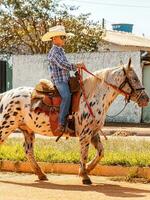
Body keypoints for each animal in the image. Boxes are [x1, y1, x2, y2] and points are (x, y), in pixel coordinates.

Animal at [0, 58, 149, 184]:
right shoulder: (85, 134)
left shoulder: (94, 133)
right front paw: (84, 175)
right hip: (6, 126)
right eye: (134, 78)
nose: (146, 99)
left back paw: (41, 174)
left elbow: (100, 152)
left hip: (28, 130)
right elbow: (84, 153)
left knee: (28, 151)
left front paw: (88, 169)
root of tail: (6, 94)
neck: (93, 97)